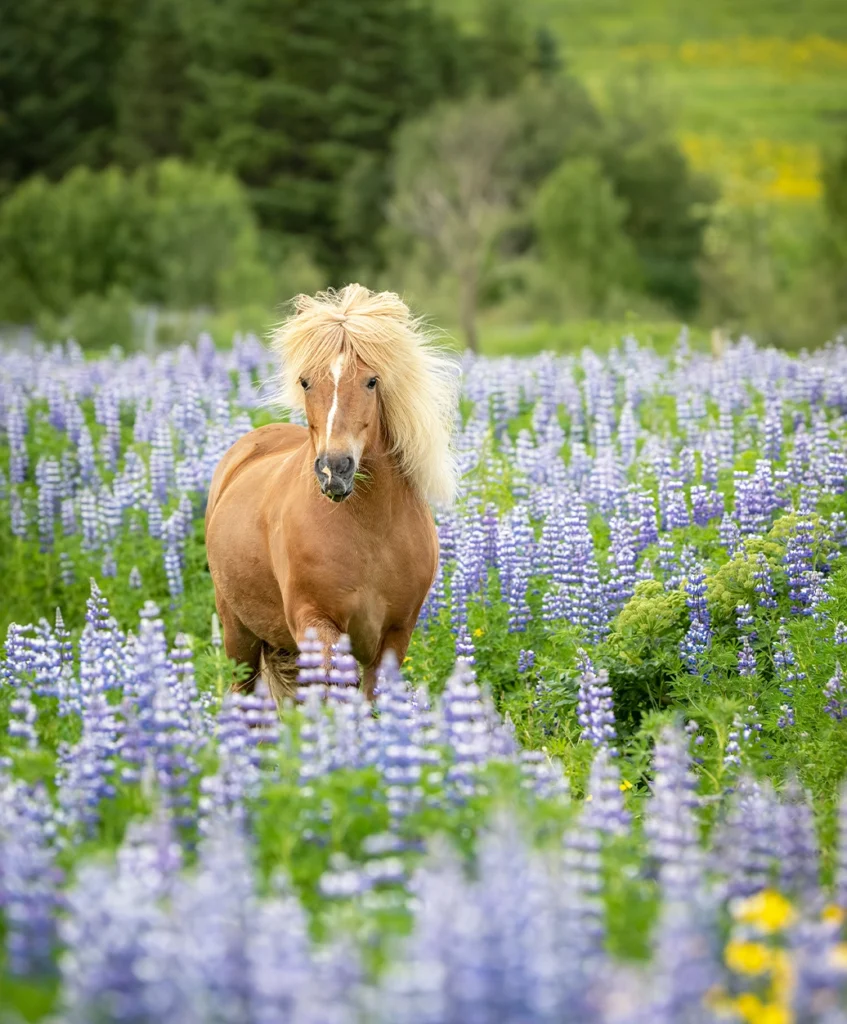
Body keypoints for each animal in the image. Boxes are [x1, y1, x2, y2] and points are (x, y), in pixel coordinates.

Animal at [205, 284, 459, 701]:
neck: (370, 531)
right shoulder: (316, 623)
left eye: (372, 381)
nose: (333, 469)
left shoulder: (396, 633)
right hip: (238, 633)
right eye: (306, 382)